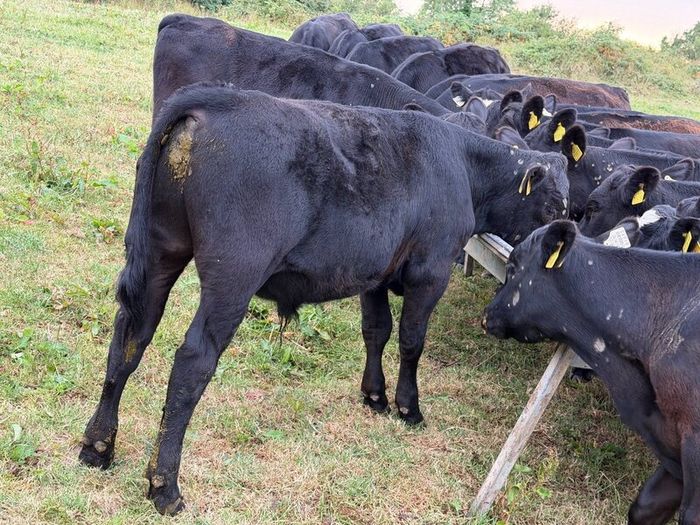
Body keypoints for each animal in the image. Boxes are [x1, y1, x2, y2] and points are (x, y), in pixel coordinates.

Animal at [78, 84, 568, 515]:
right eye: (554, 205)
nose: (559, 246)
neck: (462, 165)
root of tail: (213, 100)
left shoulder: (374, 272)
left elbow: (376, 331)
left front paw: (374, 395)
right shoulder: (430, 271)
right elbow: (412, 341)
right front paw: (408, 407)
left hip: (160, 252)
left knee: (130, 337)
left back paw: (98, 447)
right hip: (233, 276)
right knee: (192, 362)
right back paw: (165, 487)